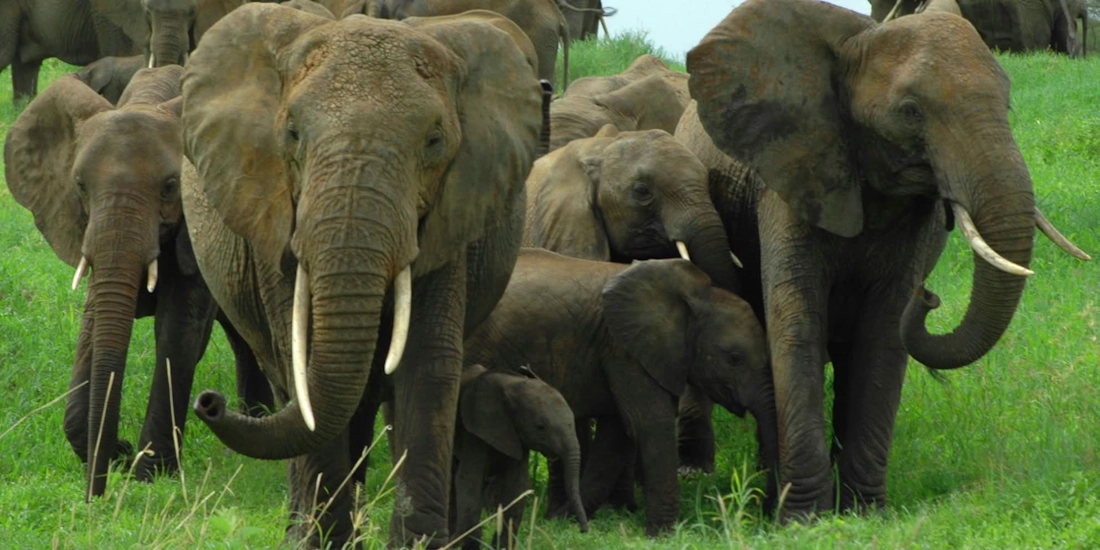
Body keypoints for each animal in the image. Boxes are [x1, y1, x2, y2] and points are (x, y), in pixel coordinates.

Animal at [3, 65, 274, 500]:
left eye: (170, 186)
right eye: (80, 185)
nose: (94, 497)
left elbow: (177, 331)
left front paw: (149, 473)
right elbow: (96, 324)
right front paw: (116, 453)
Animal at [178, 5, 543, 547]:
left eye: (434, 142)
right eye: (291, 133)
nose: (209, 403)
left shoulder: (453, 214)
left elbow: (427, 360)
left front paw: (417, 543)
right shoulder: (272, 210)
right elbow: (304, 359)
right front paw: (325, 540)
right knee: (294, 387)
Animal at [450, 364, 588, 550]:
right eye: (540, 427)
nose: (583, 530)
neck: (513, 383)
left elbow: (516, 486)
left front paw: (501, 547)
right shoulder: (476, 431)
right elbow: (469, 480)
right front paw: (471, 543)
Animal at [464, 250, 778, 536]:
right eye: (734, 358)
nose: (763, 514)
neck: (698, 296)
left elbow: (618, 435)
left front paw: (563, 521)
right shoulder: (624, 349)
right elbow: (649, 424)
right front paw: (661, 535)